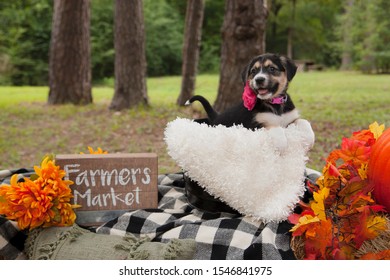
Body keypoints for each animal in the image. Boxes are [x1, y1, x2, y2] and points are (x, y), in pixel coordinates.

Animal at [186, 53, 314, 151]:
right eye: (253, 71)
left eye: (272, 69)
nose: (259, 79)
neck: (274, 103)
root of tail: (216, 117)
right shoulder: (255, 124)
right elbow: (274, 127)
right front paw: (281, 144)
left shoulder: (290, 119)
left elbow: (303, 121)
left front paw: (310, 139)